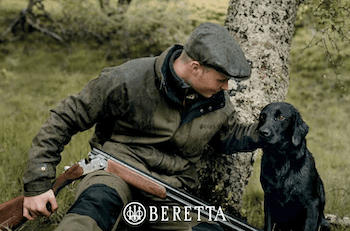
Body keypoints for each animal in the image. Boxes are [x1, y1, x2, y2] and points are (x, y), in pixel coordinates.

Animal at [258, 102, 330, 231]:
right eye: (262, 116)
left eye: (281, 117)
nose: (262, 133)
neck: (282, 162)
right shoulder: (269, 198)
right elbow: (269, 225)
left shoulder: (312, 203)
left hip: (324, 224)